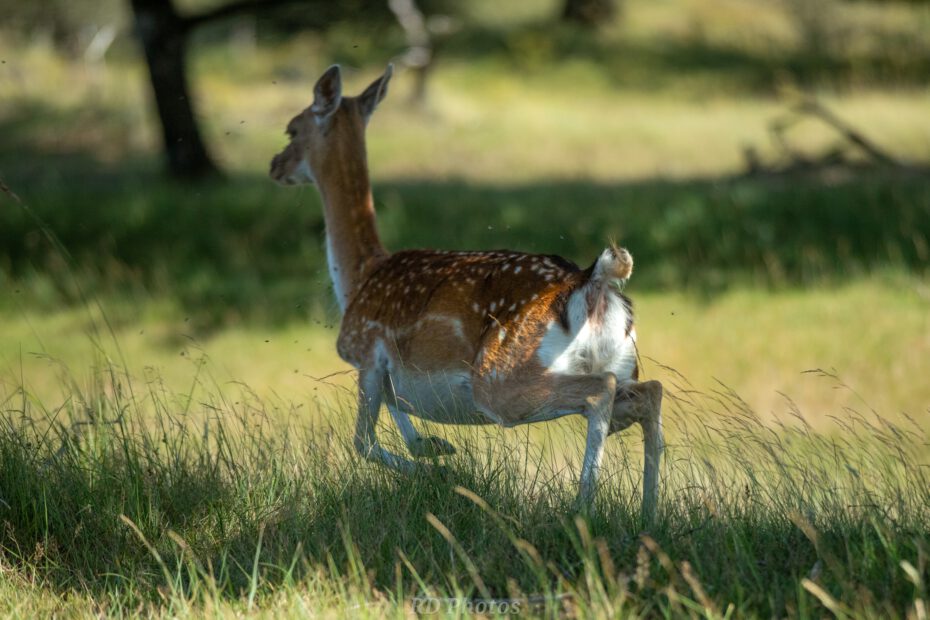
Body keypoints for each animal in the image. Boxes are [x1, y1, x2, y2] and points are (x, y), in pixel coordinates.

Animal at [266, 64, 660, 520]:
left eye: (292, 129)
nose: (275, 165)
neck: (359, 278)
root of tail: (593, 282)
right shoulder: (394, 371)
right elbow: (399, 409)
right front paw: (435, 447)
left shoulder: (366, 352)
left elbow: (362, 441)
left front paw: (441, 472)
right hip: (622, 363)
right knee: (650, 393)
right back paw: (650, 514)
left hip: (500, 377)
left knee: (600, 391)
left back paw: (582, 509)